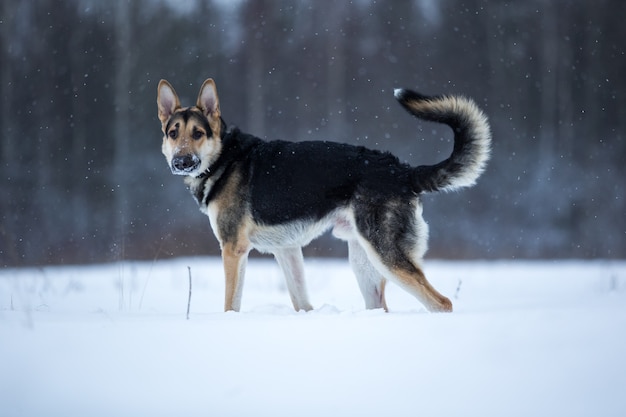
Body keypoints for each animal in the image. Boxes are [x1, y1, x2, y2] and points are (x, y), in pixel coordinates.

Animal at [156, 78, 488, 312]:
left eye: (198, 134)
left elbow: (230, 305)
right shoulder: (287, 250)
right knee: (381, 306)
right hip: (363, 261)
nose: (181, 163)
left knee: (442, 303)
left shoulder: (233, 250)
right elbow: (302, 303)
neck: (224, 158)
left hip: (385, 255)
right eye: (173, 133)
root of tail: (401, 170)